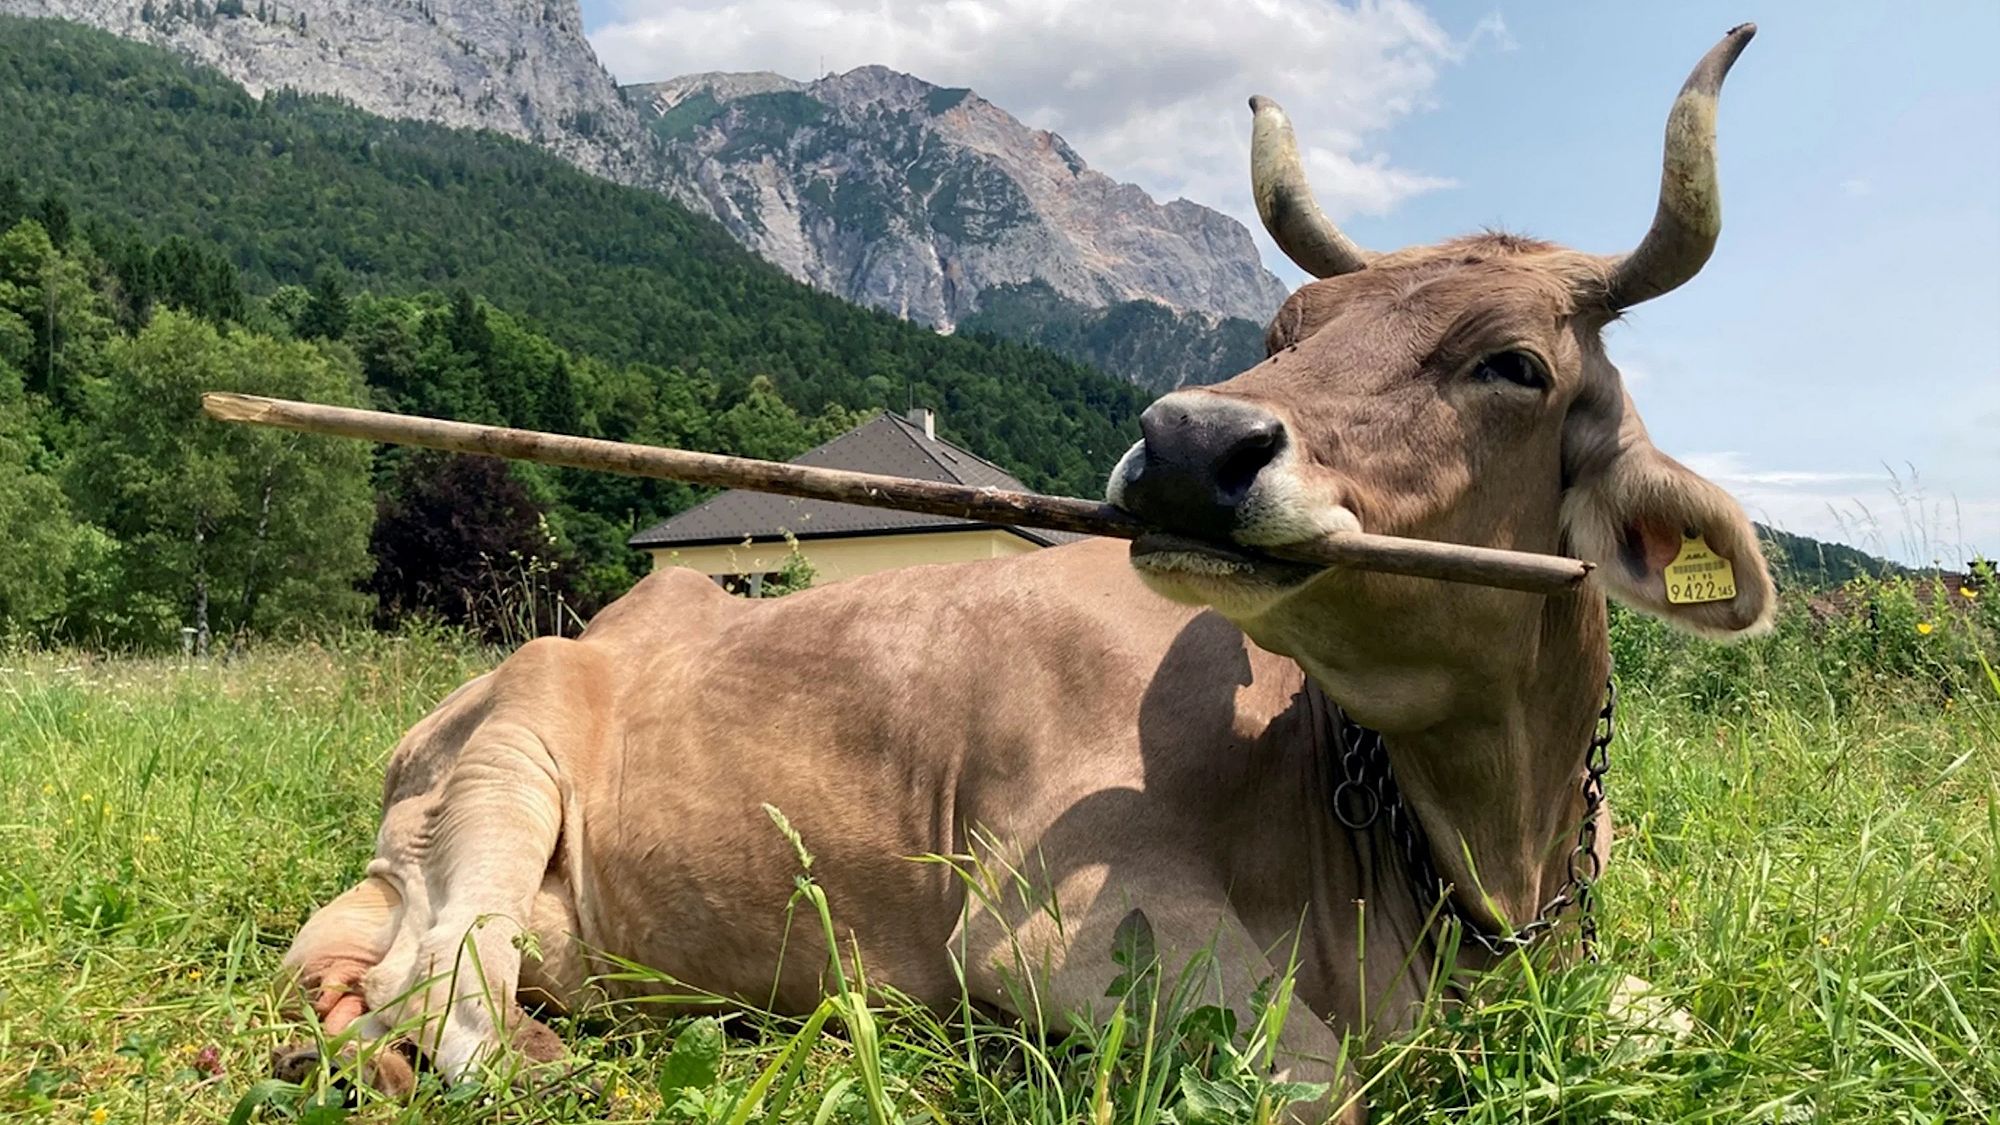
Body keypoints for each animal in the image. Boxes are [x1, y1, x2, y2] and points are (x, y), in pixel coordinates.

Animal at [273, 25, 1772, 1123]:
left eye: (1513, 363)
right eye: (1285, 328)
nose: (1189, 443)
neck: (1479, 858)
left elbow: (1686, 1015)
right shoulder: (1059, 928)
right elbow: (1319, 1084)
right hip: (508, 759)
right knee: (442, 998)